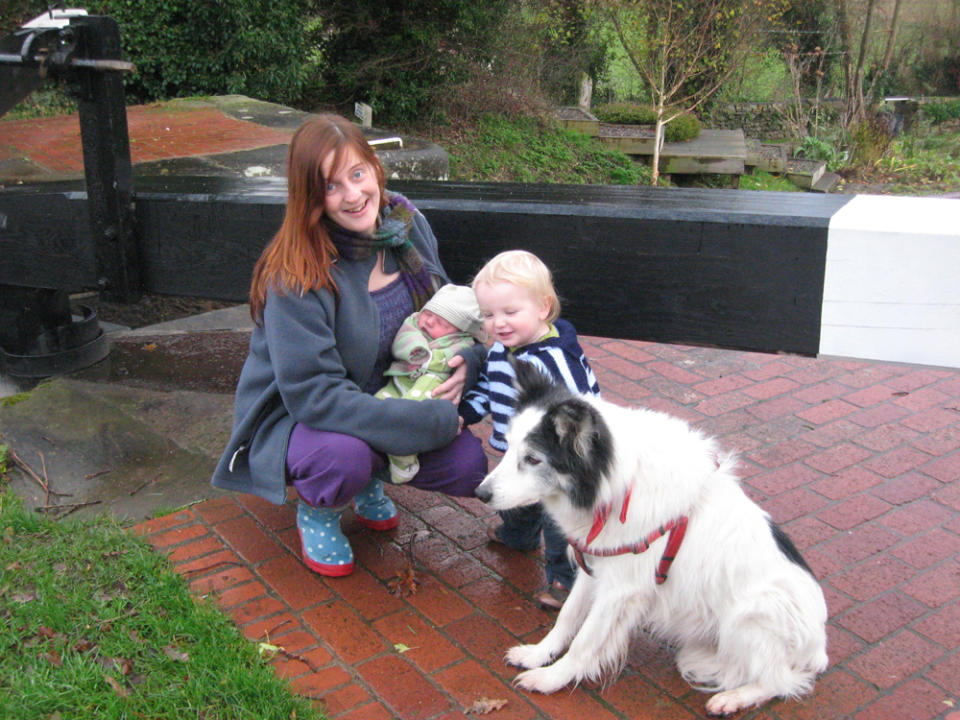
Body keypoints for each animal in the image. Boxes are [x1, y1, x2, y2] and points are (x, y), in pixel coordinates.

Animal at [476, 362, 828, 716]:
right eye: (508, 446)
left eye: (533, 459)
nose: (480, 493)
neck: (615, 482)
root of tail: (818, 648)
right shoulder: (597, 567)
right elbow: (567, 617)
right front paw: (538, 654)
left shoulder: (621, 589)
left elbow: (585, 640)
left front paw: (552, 678)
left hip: (752, 616)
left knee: (779, 681)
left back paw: (732, 698)